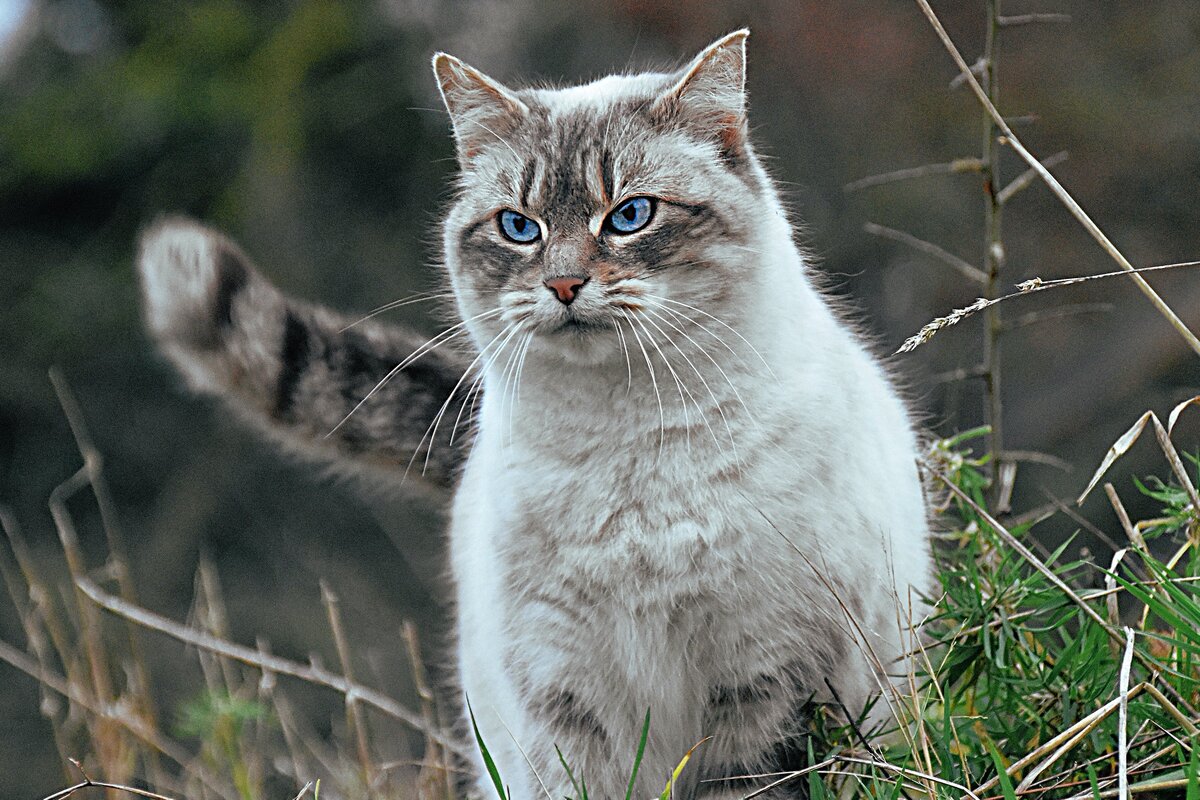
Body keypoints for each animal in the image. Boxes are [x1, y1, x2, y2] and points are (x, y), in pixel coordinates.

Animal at [136, 29, 931, 800]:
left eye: (630, 215)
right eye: (520, 227)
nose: (564, 284)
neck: (625, 442)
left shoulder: (767, 677)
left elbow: (750, 785)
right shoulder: (566, 692)